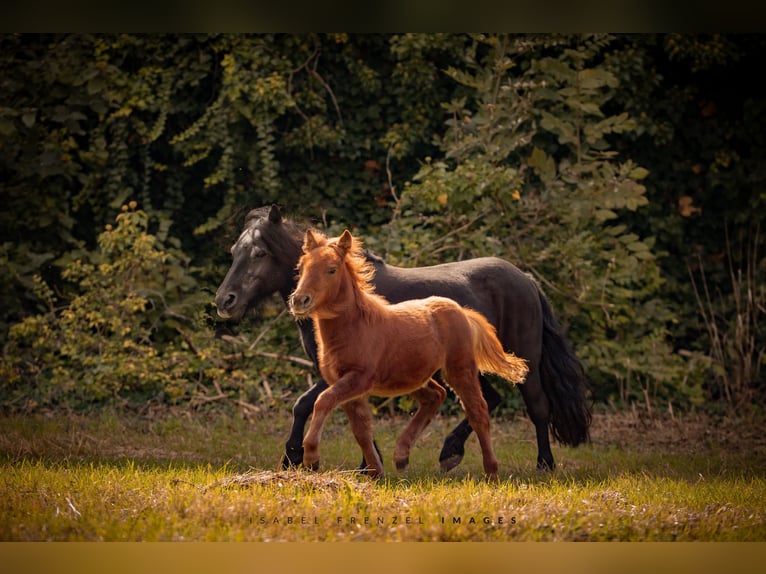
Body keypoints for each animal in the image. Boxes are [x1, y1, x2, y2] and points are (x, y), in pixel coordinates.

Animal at [216, 207, 592, 472]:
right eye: (234, 250)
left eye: (260, 253)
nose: (225, 301)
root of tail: (526, 279)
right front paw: (368, 463)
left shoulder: (343, 371)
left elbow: (304, 403)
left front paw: (294, 456)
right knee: (490, 400)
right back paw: (450, 453)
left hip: (524, 358)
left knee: (537, 406)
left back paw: (544, 464)